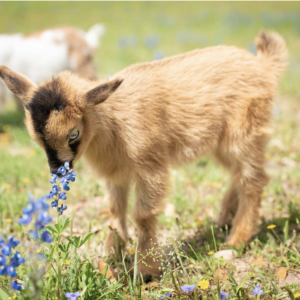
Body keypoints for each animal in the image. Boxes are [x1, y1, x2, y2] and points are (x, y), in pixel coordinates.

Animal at [0, 31, 288, 282]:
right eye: (37, 139)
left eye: (74, 134)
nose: (57, 171)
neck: (111, 123)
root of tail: (263, 65)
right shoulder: (116, 175)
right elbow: (115, 210)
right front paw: (112, 254)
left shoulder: (152, 167)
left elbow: (142, 214)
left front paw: (146, 269)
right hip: (223, 143)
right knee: (239, 174)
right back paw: (224, 217)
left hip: (244, 133)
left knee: (254, 179)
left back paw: (236, 240)